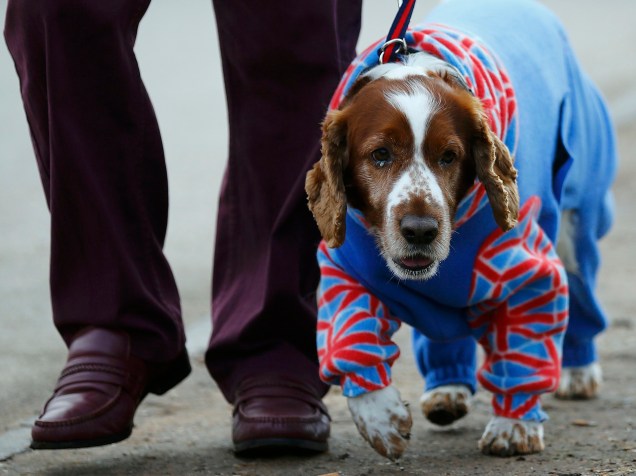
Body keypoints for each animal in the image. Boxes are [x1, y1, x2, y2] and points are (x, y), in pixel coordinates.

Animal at [306, 0, 612, 462]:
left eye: (449, 156)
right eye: (379, 154)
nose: (420, 230)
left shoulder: (530, 274)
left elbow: (524, 349)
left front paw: (514, 427)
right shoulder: (345, 271)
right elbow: (350, 339)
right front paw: (383, 422)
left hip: (577, 223)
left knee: (582, 293)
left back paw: (579, 371)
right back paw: (446, 389)